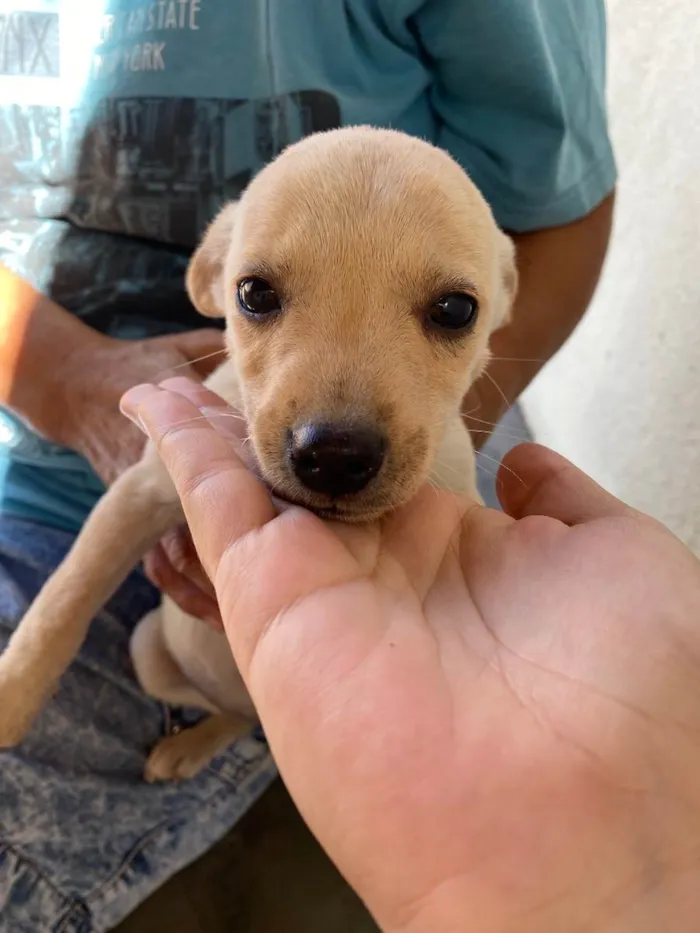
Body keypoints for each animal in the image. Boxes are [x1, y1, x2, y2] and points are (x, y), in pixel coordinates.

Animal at [0, 125, 516, 780]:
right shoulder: (138, 495)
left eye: (455, 310)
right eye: (254, 293)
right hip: (148, 648)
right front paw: (12, 693)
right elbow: (65, 595)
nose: (335, 455)